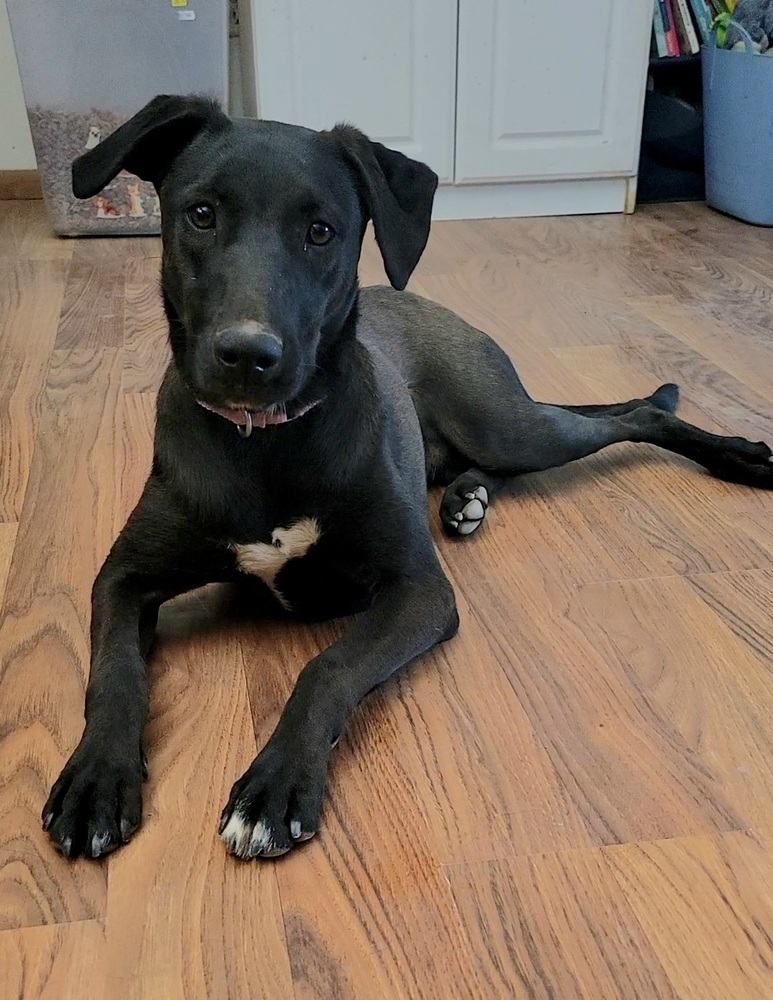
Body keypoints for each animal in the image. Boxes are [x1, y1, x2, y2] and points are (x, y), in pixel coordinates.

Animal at [43, 94, 772, 860]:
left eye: (321, 231)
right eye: (201, 214)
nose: (248, 355)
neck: (264, 444)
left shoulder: (419, 592)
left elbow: (327, 666)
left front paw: (275, 787)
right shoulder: (122, 579)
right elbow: (114, 673)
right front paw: (96, 777)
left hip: (507, 423)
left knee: (633, 413)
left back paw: (737, 455)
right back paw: (466, 497)